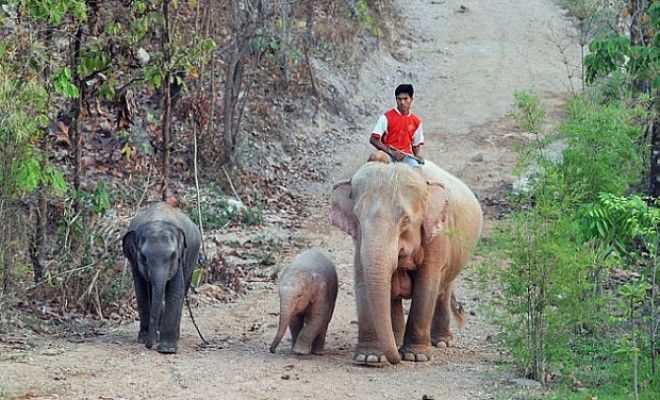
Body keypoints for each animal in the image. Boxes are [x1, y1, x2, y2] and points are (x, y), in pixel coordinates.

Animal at [120, 203, 200, 354]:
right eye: (143, 257)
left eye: (173, 256)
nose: (148, 346)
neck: (157, 221)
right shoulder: (135, 263)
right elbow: (141, 291)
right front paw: (143, 339)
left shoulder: (180, 259)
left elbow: (175, 291)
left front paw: (167, 349)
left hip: (193, 256)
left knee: (184, 289)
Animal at [332, 160, 482, 366]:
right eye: (357, 217)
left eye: (405, 219)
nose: (395, 360)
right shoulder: (359, 243)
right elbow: (363, 282)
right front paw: (370, 357)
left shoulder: (438, 237)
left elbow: (426, 285)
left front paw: (414, 356)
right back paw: (397, 341)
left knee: (443, 291)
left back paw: (441, 342)